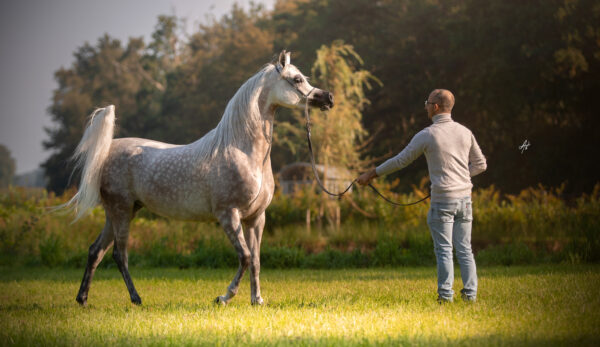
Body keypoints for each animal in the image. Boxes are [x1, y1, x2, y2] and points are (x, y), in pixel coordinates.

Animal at [68, 50, 336, 306]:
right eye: (297, 79)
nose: (328, 98)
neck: (242, 149)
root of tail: (106, 151)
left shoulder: (256, 218)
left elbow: (257, 260)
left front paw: (257, 300)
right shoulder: (228, 214)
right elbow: (245, 257)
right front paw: (224, 297)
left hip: (121, 212)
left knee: (96, 251)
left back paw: (83, 299)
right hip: (121, 211)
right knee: (119, 254)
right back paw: (136, 299)